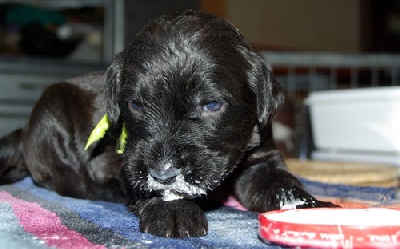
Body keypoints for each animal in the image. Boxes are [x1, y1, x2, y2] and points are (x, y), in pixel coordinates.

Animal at [0, 10, 334, 238]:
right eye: (135, 104)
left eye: (211, 105)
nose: (162, 171)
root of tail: (23, 134)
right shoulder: (125, 161)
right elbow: (152, 185)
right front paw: (173, 209)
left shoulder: (261, 159)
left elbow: (282, 185)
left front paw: (312, 209)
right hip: (52, 108)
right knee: (69, 181)